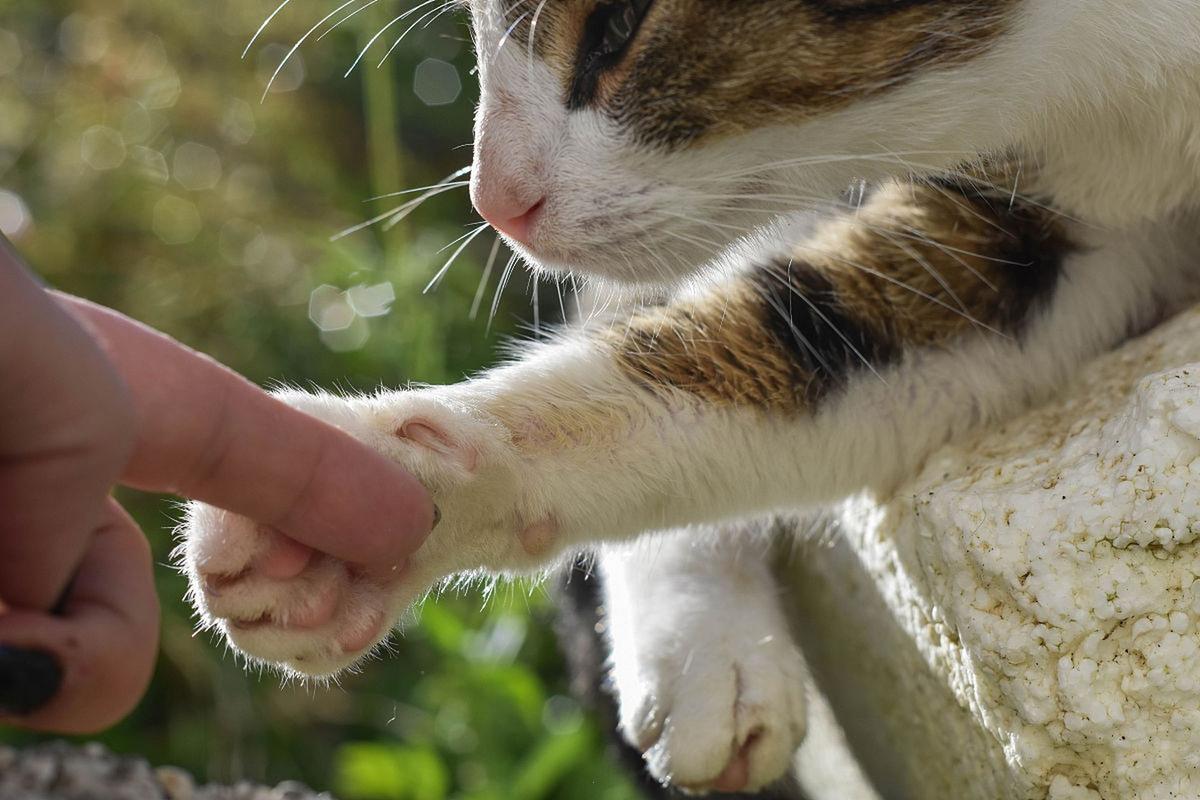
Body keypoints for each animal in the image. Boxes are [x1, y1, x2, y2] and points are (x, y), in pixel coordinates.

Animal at [177, 1, 1200, 796]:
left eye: (619, 25)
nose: (494, 200)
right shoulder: (1023, 223)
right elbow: (784, 336)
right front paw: (359, 488)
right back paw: (704, 655)